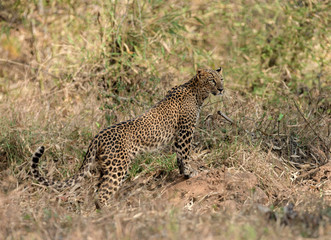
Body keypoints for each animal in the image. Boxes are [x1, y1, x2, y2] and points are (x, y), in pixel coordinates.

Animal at [30, 66, 226, 207]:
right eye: (211, 80)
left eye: (221, 79)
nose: (222, 89)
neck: (197, 92)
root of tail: (97, 137)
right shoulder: (185, 131)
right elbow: (184, 154)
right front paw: (189, 172)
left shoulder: (180, 134)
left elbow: (179, 155)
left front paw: (183, 172)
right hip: (118, 168)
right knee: (102, 195)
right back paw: (110, 215)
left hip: (106, 168)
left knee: (97, 191)